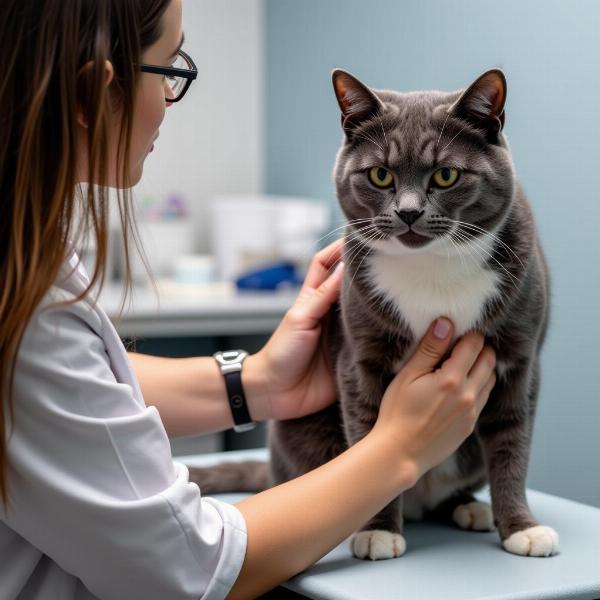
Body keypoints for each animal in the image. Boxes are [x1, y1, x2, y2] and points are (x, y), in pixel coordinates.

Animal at [188, 68, 556, 560]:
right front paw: (378, 530)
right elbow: (368, 435)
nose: (409, 212)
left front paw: (521, 527)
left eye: (446, 175)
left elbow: (512, 442)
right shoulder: (359, 355)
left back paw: (467, 507)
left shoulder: (519, 358)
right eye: (380, 175)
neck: (431, 268)